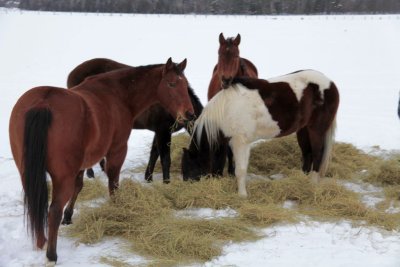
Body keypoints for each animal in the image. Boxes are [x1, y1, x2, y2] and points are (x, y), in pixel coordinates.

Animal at [67, 58, 203, 184]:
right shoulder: (163, 131)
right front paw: (166, 183)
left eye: (185, 84)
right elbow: (165, 158)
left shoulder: (159, 132)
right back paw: (90, 172)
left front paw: (148, 177)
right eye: (172, 84)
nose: (196, 180)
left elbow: (154, 153)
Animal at [183, 70, 340, 198]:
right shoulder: (232, 142)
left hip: (316, 129)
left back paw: (313, 184)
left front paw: (242, 195)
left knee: (317, 154)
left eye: (191, 166)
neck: (226, 109)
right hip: (303, 130)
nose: (186, 186)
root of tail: (331, 84)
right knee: (307, 153)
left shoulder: (241, 143)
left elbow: (240, 170)